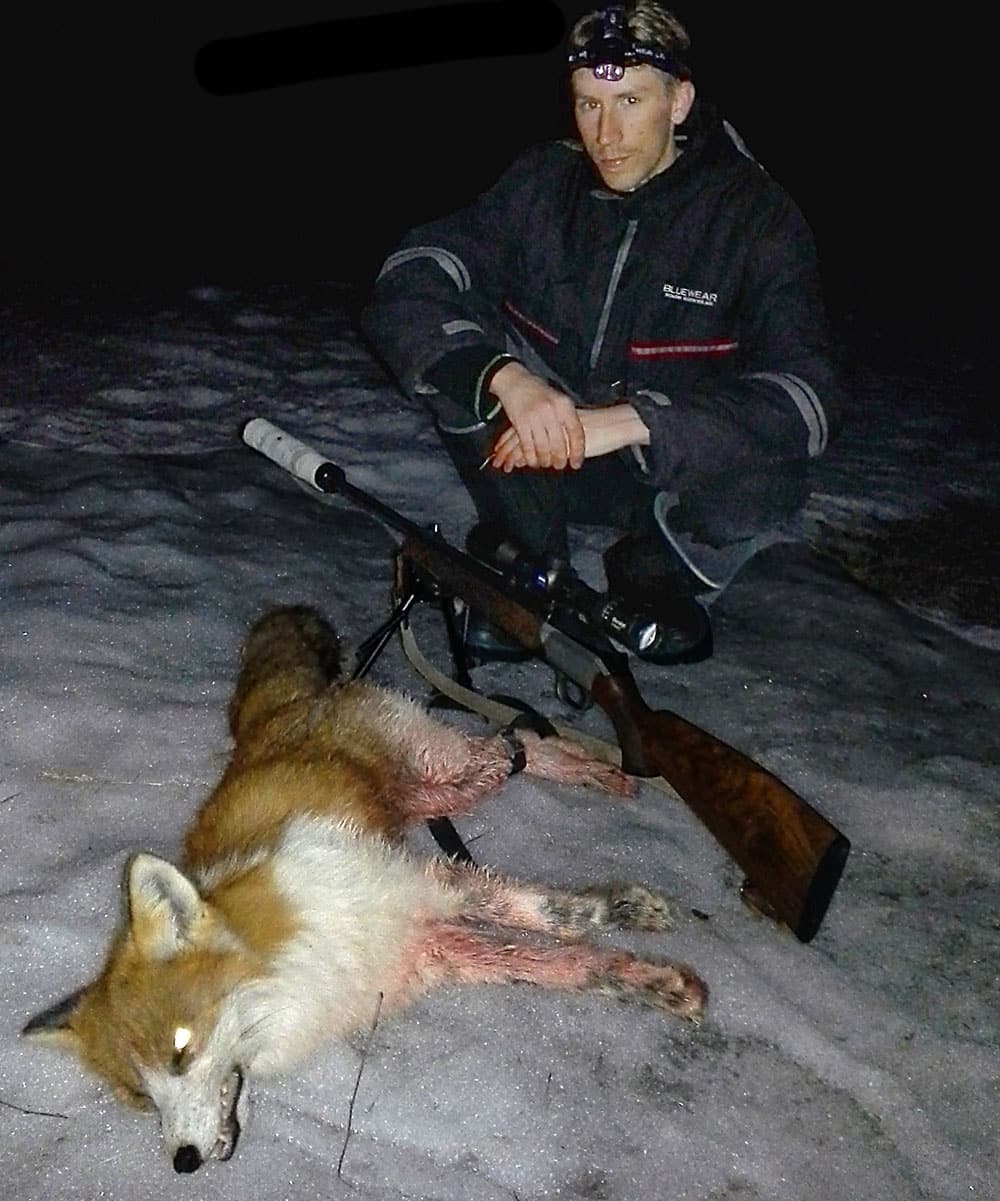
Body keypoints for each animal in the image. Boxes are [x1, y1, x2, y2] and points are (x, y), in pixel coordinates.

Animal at [21, 605, 701, 1167]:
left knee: (515, 743)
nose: (183, 1161)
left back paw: (587, 766)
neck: (302, 966)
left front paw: (628, 917)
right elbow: (560, 966)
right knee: (491, 767)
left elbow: (553, 915)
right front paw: (650, 980)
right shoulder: (432, 948)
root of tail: (266, 714)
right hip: (417, 792)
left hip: (432, 754)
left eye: (181, 1049)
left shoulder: (421, 886)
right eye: (141, 1096)